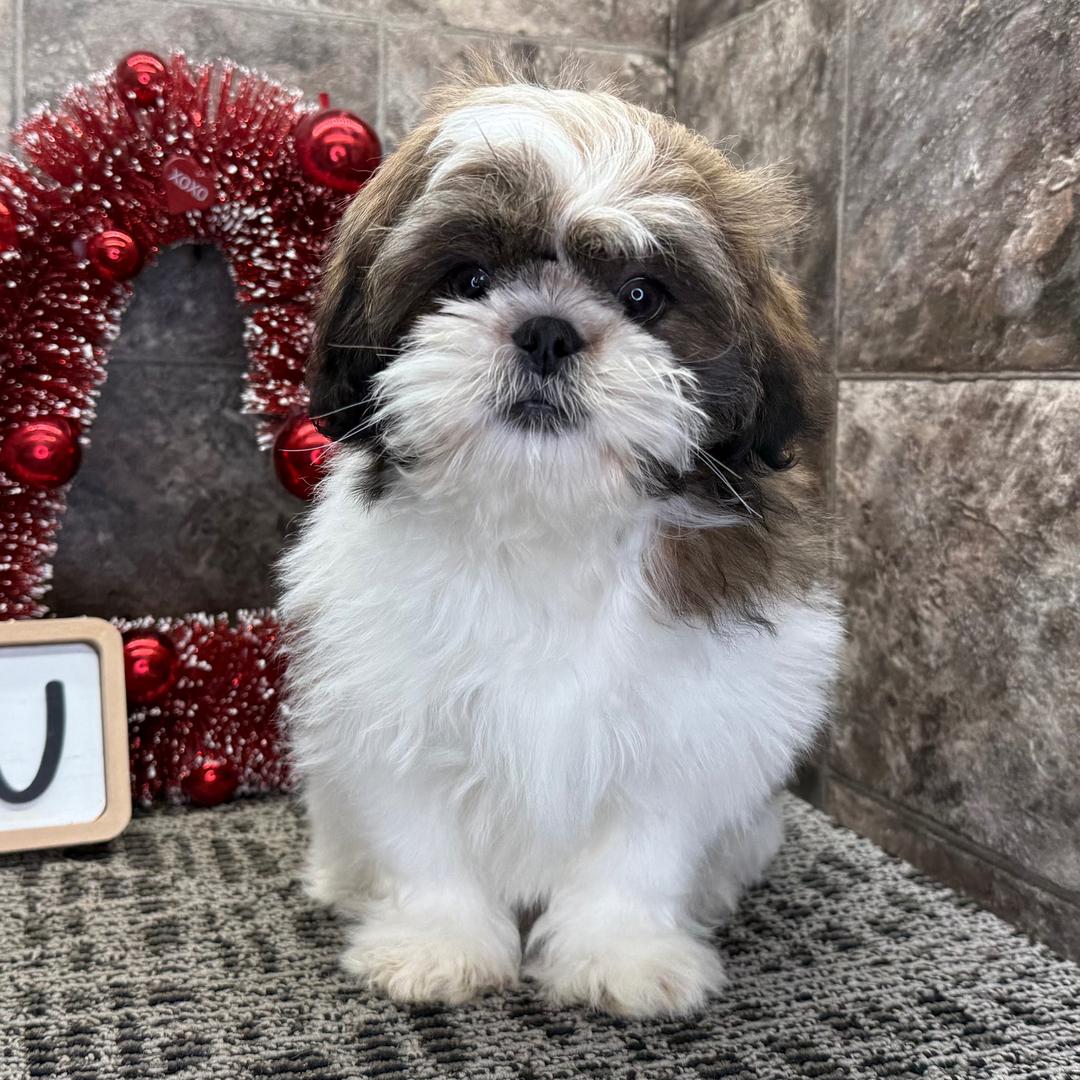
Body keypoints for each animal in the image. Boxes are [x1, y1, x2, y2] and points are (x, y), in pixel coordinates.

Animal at [279, 60, 843, 1019]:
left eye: (644, 296)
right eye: (468, 278)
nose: (546, 329)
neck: (544, 515)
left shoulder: (692, 717)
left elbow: (641, 847)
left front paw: (623, 954)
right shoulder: (391, 701)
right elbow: (421, 834)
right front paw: (437, 944)